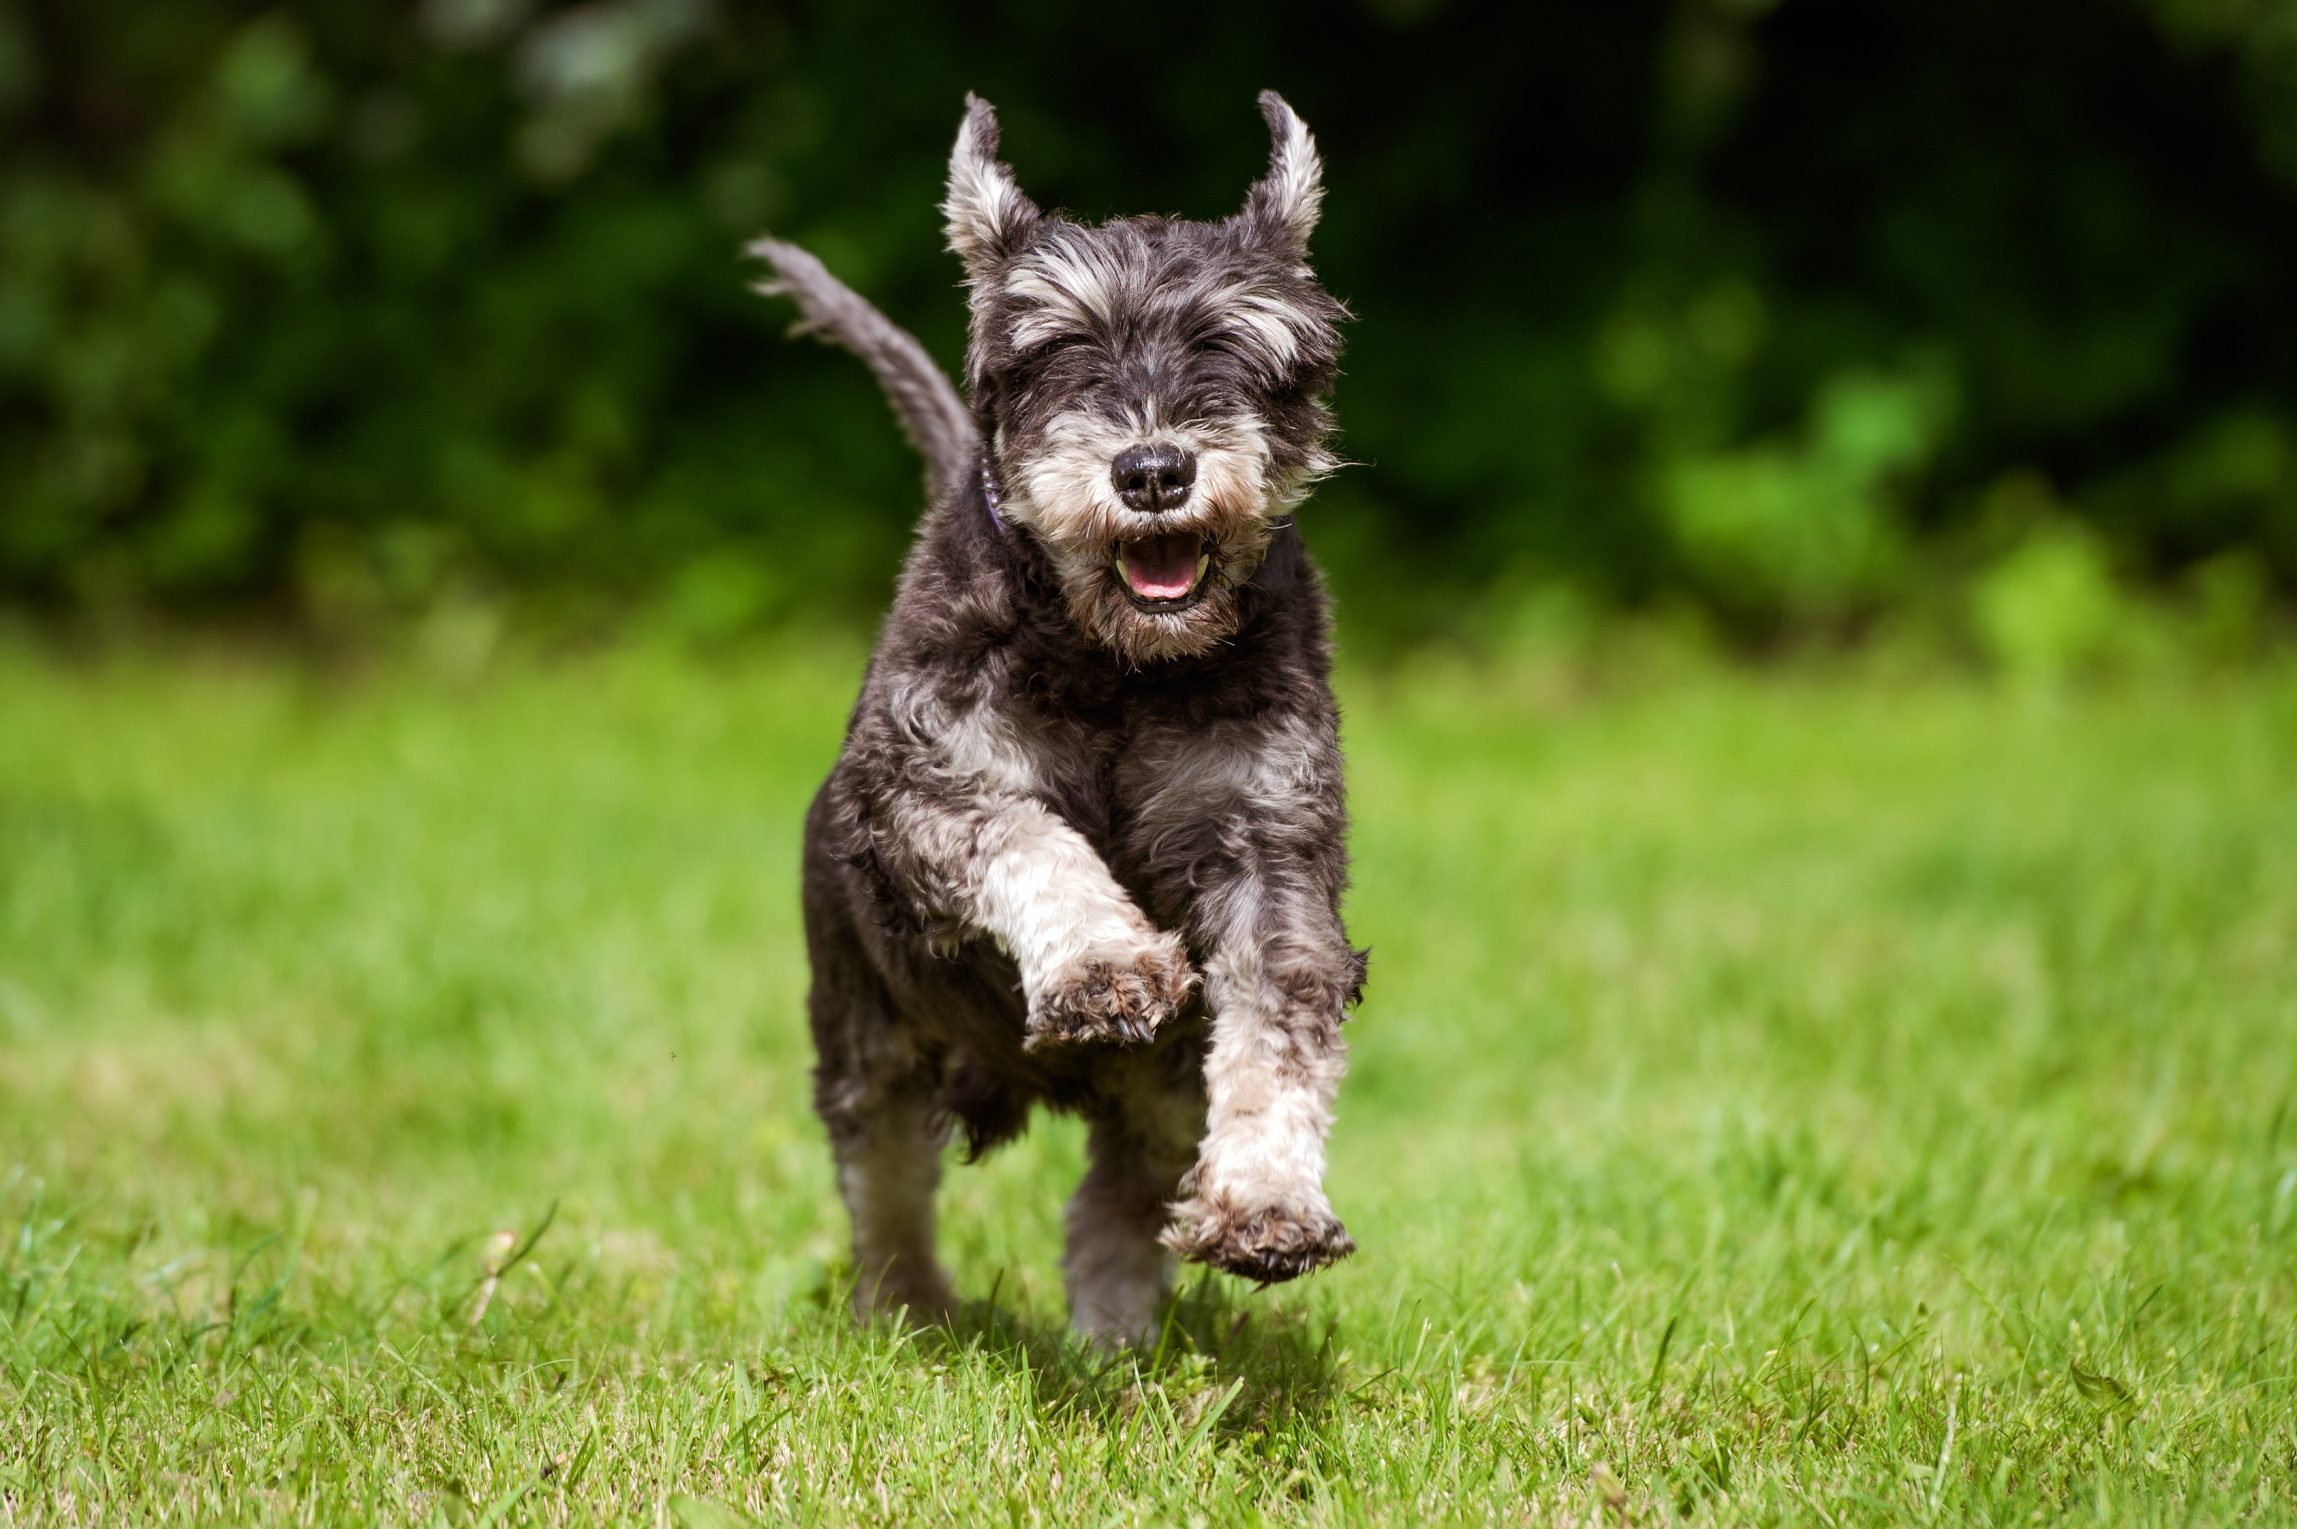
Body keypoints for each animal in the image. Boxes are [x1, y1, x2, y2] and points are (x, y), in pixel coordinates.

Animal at [753, 89, 1359, 1340]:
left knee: (1116, 1195)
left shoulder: (1267, 845)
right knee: (884, 1178)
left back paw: (1115, 1333)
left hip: (1154, 1092)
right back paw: (906, 1309)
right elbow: (1029, 839)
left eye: (1235, 344)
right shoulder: (924, 787)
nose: (1152, 470)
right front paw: (1102, 964)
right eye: (1056, 347)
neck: (1116, 664)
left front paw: (1270, 1203)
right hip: (869, 1034)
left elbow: (1279, 1024)